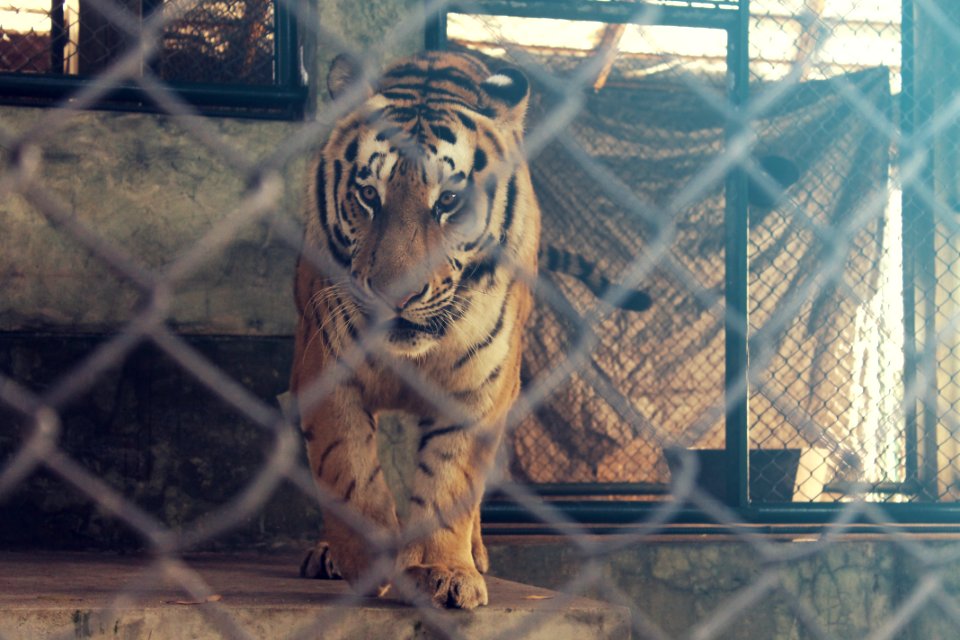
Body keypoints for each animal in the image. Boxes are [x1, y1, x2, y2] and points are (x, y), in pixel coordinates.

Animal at [288, 51, 536, 608]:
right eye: (367, 195)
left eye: (448, 201)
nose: (395, 297)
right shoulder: (324, 367)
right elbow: (346, 467)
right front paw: (367, 564)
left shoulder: (479, 390)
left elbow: (449, 481)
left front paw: (442, 571)